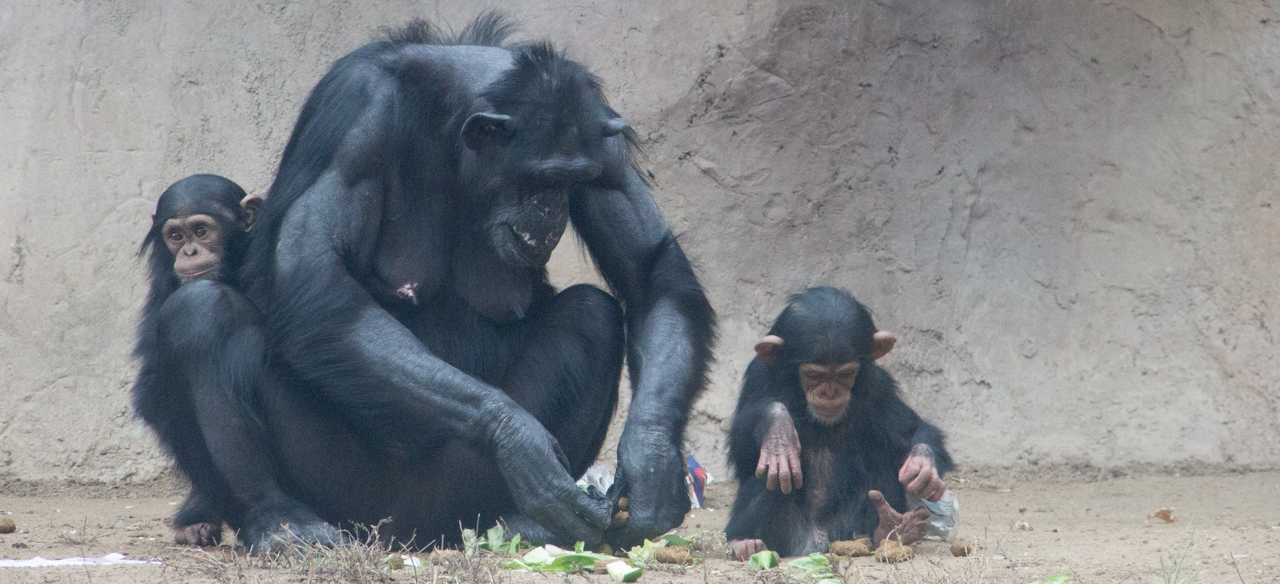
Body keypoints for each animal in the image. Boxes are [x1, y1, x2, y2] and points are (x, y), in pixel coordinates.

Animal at [154, 14, 716, 553]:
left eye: (575, 179)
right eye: (541, 178)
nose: (553, 206)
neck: (452, 126)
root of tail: (407, 535)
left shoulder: (604, 142)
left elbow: (650, 274)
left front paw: (652, 465)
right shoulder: (356, 118)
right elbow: (317, 281)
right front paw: (516, 438)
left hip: (456, 493)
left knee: (593, 315)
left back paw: (528, 523)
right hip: (342, 489)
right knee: (203, 311)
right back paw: (280, 522)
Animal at [727, 289, 957, 558]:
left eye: (846, 374)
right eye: (814, 375)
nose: (830, 392)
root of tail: (817, 541)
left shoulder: (878, 386)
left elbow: (911, 432)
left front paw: (923, 464)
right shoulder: (758, 375)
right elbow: (741, 446)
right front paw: (778, 430)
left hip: (845, 531)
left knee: (883, 458)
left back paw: (893, 528)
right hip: (786, 536)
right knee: (772, 470)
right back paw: (745, 541)